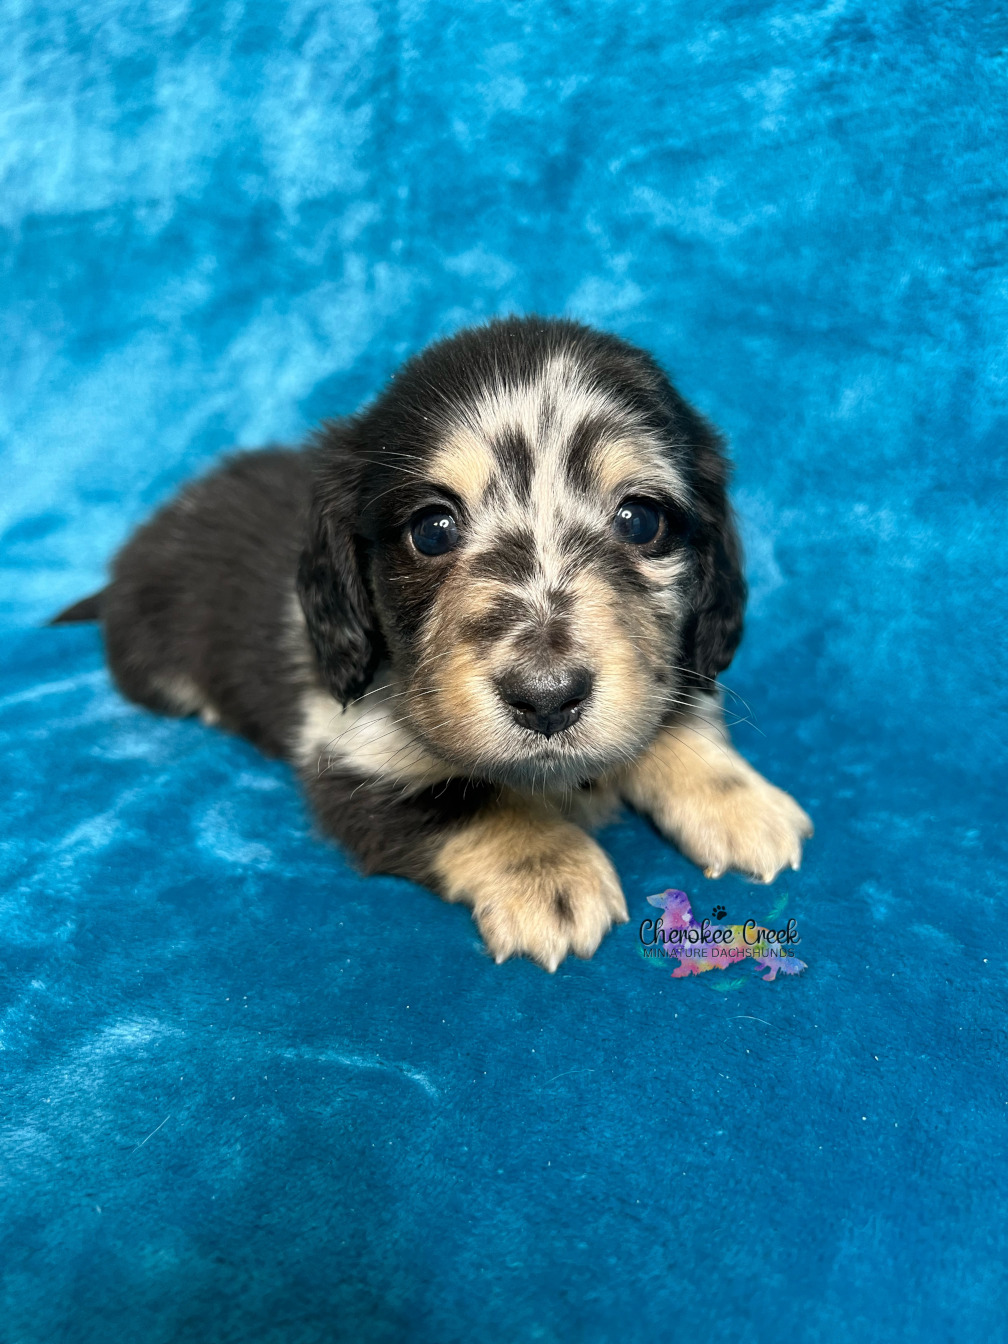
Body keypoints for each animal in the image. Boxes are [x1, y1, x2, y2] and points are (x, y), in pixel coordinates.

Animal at [53, 317, 811, 967]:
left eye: (640, 520)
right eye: (433, 530)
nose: (546, 699)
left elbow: (673, 720)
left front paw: (737, 800)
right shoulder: (346, 754)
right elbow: (465, 800)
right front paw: (547, 869)